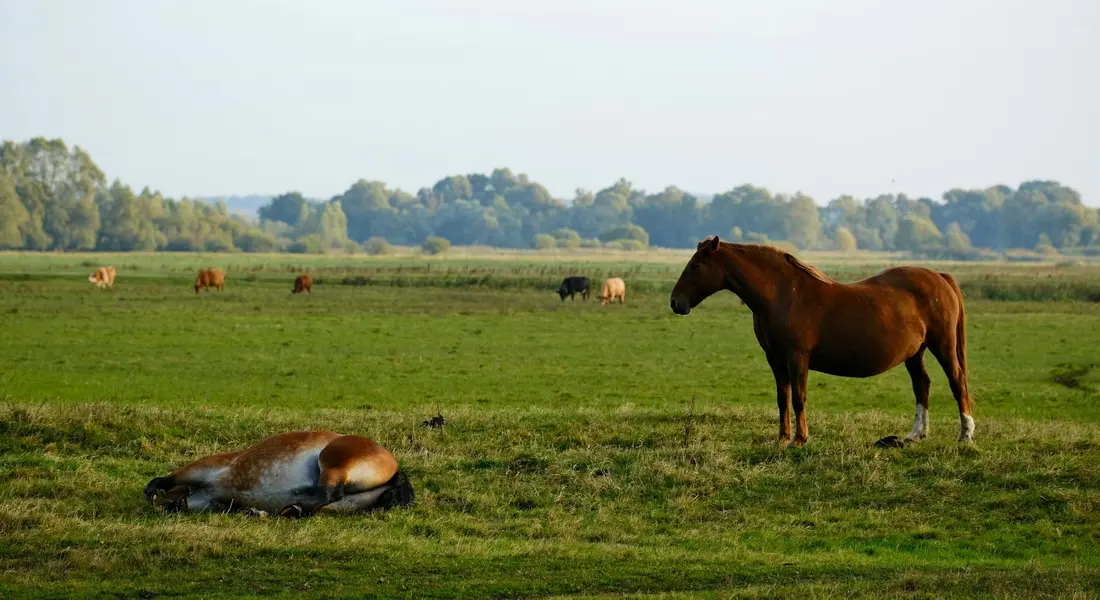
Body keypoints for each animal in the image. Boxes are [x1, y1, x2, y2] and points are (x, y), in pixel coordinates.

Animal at [144, 431, 414, 517]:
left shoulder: (201, 470)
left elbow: (166, 481)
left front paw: (154, 493)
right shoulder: (207, 500)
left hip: (332, 462)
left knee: (328, 492)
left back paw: (291, 508)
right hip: (348, 504)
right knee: (324, 503)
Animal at [669, 235, 973, 448]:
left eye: (696, 265)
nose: (675, 302)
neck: (783, 294)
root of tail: (940, 277)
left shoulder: (797, 357)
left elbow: (799, 397)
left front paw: (799, 439)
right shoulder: (775, 360)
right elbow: (783, 398)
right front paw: (782, 438)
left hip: (943, 345)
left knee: (957, 382)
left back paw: (965, 435)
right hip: (915, 352)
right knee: (922, 385)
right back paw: (915, 435)